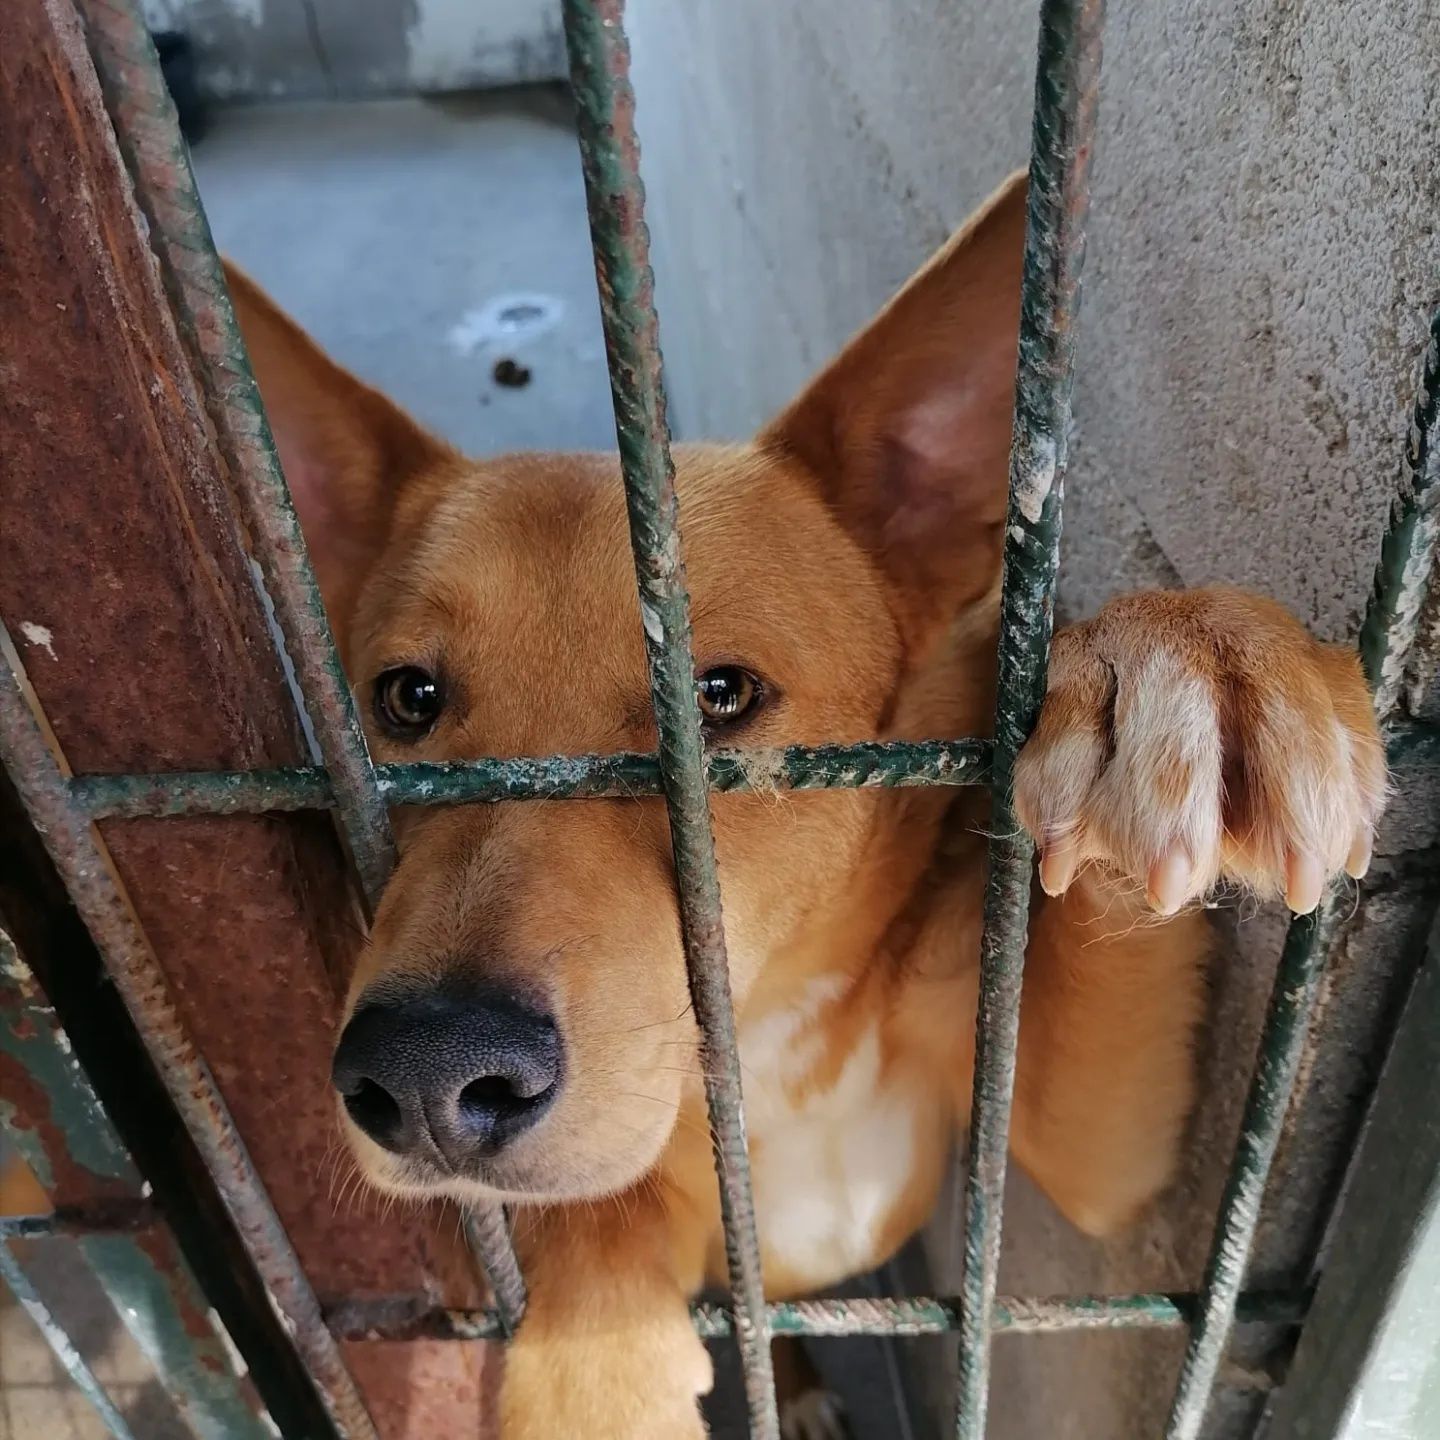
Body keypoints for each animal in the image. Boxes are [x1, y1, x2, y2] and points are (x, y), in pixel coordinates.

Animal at [224, 174, 1382, 1434]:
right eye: (407, 698)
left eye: (720, 693)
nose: (426, 1075)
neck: (767, 1054)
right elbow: (596, 1226)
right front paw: (593, 1369)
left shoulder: (1096, 1163)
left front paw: (1186, 658)